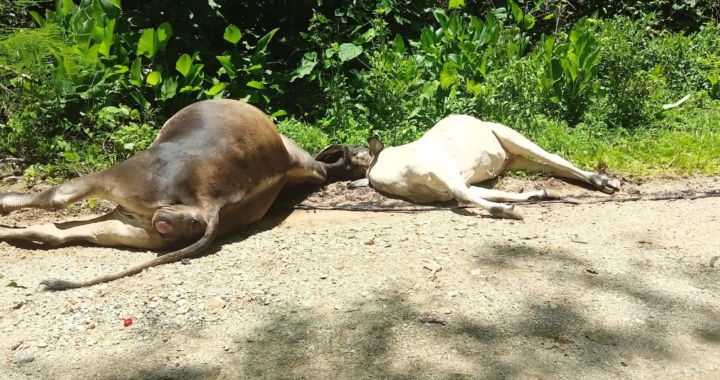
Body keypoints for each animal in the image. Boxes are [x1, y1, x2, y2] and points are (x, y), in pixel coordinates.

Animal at [0, 99, 348, 290]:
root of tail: (209, 202)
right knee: (55, 232)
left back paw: (5, 205)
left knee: (56, 198)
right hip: (134, 227)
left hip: (123, 177)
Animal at [340, 114, 620, 218]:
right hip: (513, 160)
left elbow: (467, 196)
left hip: (512, 137)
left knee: (553, 157)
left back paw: (606, 182)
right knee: (550, 167)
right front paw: (542, 194)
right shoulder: (459, 183)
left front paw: (509, 212)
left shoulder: (448, 172)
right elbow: (491, 193)